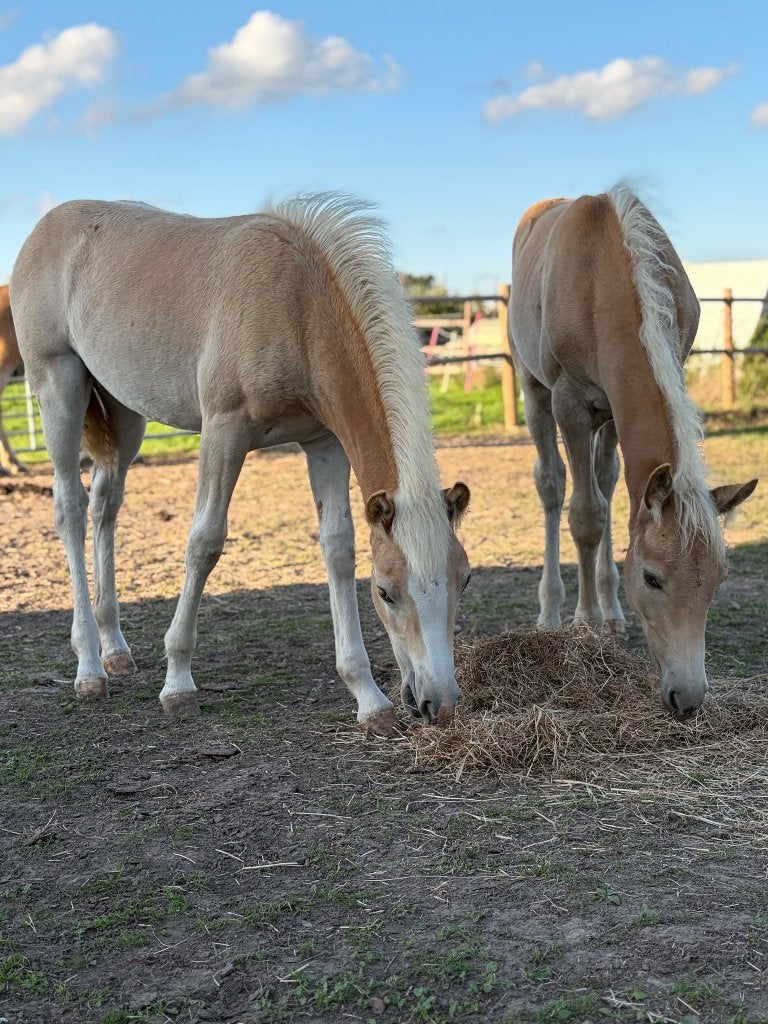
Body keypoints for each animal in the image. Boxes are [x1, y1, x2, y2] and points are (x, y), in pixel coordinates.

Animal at [10, 194, 471, 733]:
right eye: (385, 592)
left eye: (464, 579)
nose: (440, 703)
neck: (297, 304)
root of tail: (47, 225)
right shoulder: (224, 431)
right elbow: (204, 542)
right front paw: (178, 684)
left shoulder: (323, 442)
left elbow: (337, 548)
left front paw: (369, 699)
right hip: (59, 386)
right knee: (70, 508)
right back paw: (88, 668)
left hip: (123, 414)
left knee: (106, 503)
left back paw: (115, 650)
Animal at [509, 186, 757, 719]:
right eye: (652, 578)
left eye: (719, 579)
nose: (687, 698)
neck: (606, 277)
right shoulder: (570, 403)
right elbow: (584, 514)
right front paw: (583, 624)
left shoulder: (616, 406)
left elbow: (613, 504)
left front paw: (607, 618)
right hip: (534, 389)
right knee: (552, 485)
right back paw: (552, 611)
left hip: (606, 417)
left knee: (603, 479)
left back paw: (612, 614)